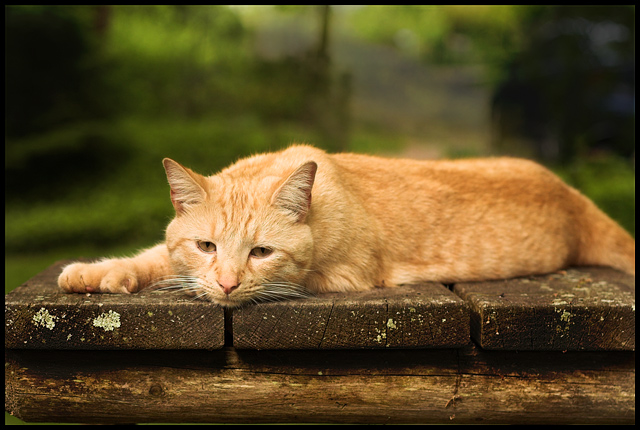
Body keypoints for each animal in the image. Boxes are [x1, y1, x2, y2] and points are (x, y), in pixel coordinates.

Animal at [56, 144, 636, 306]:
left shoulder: (346, 276)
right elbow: (156, 256)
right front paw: (99, 272)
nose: (227, 283)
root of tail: (571, 192)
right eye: (206, 245)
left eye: (261, 253)